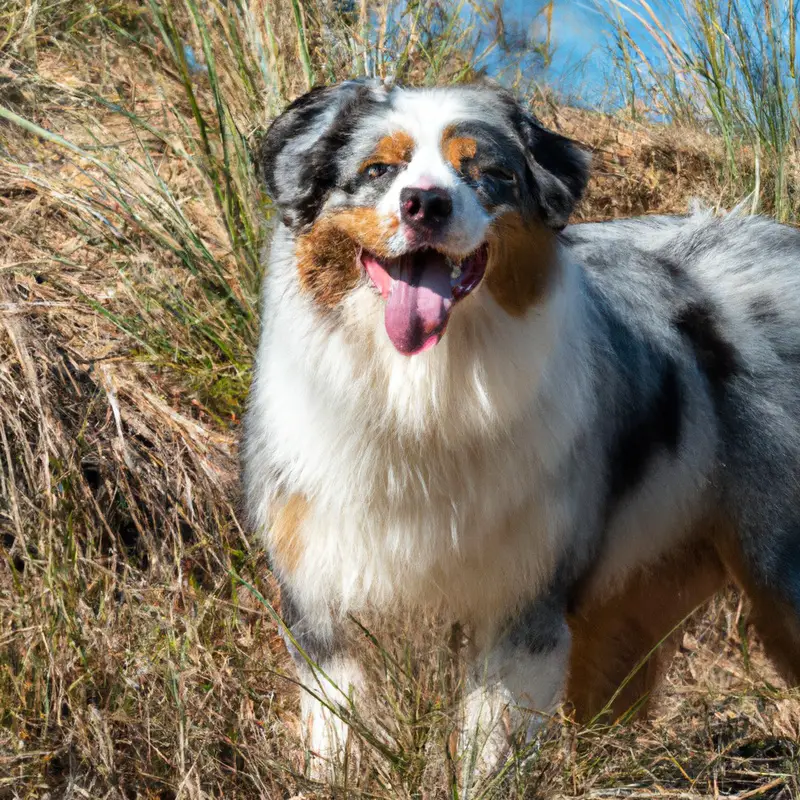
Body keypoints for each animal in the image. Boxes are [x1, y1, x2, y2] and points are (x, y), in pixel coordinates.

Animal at [241, 78, 800, 780]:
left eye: (490, 174)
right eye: (378, 170)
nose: (425, 204)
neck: (423, 396)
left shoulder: (524, 601)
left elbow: (492, 747)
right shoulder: (322, 597)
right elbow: (338, 740)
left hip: (779, 567)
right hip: (635, 594)